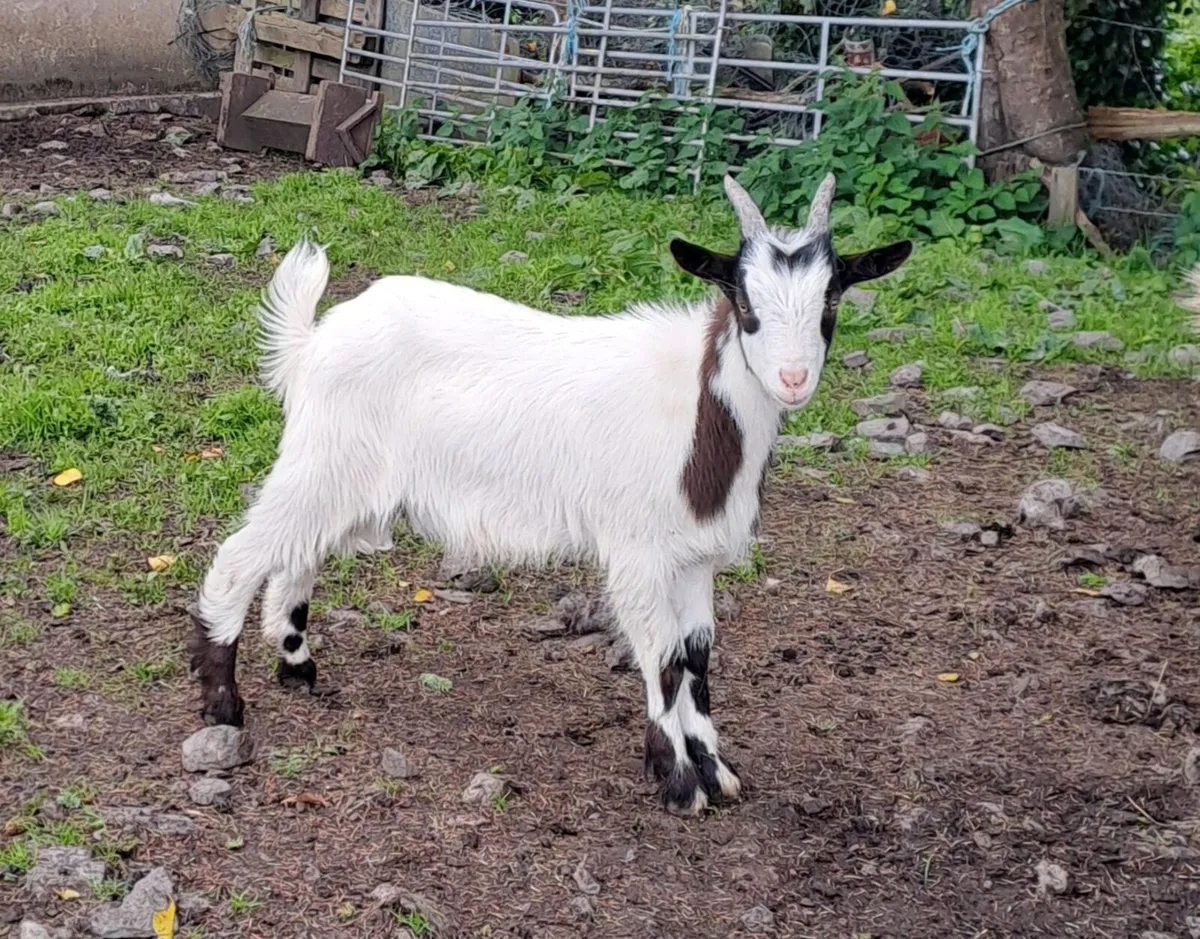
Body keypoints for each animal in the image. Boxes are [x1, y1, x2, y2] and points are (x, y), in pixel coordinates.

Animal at [189, 174, 912, 813]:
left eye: (831, 302)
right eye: (746, 304)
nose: (792, 379)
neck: (700, 413)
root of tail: (312, 341)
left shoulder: (693, 557)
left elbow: (698, 658)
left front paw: (716, 769)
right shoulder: (637, 550)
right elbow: (663, 660)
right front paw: (679, 783)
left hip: (347, 479)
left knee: (297, 557)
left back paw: (297, 666)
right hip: (324, 458)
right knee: (240, 556)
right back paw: (224, 704)